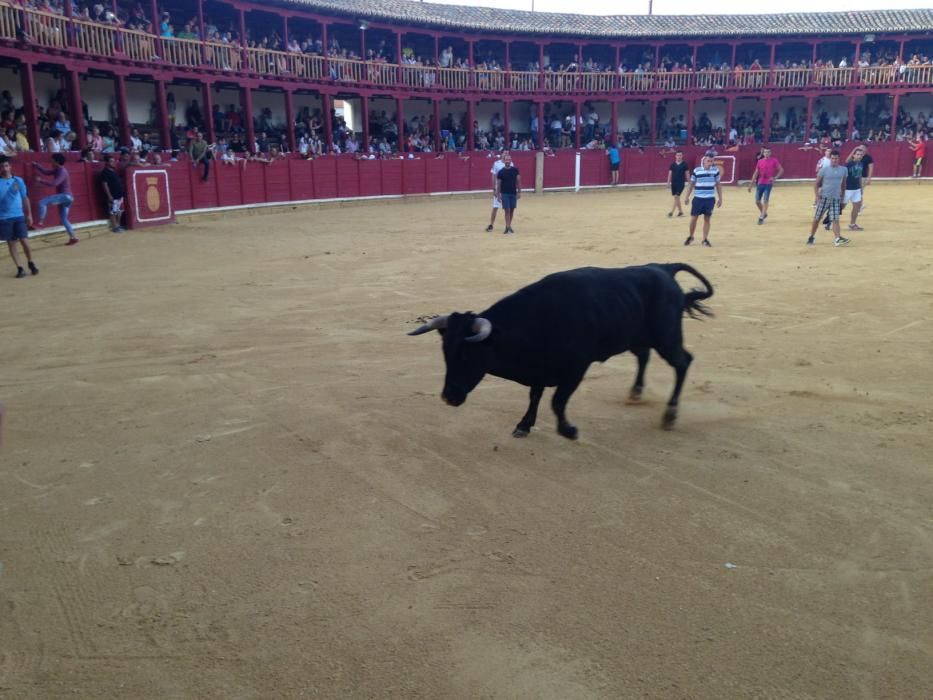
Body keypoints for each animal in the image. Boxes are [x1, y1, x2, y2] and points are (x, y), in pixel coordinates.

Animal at [406, 262, 712, 438]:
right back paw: (635, 393)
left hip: (667, 337)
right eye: (445, 353)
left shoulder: (575, 369)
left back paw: (670, 415)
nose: (448, 397)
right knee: (644, 356)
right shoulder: (540, 368)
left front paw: (568, 430)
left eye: (467, 354)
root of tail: (664, 268)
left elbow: (557, 401)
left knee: (683, 362)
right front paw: (524, 425)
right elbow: (535, 395)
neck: (539, 320)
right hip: (637, 337)